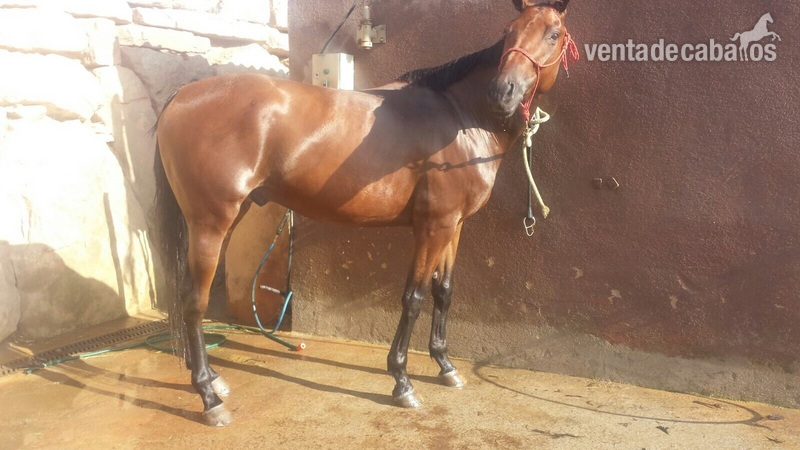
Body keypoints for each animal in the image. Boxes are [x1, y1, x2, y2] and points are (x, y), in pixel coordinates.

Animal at [153, 0, 578, 426]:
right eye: (509, 31)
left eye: (552, 34)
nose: (502, 93)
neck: (459, 117)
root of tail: (181, 94)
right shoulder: (432, 227)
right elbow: (413, 297)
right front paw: (402, 381)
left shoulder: (454, 226)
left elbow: (443, 292)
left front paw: (445, 366)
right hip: (210, 223)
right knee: (194, 301)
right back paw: (209, 398)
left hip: (227, 219)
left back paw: (213, 380)